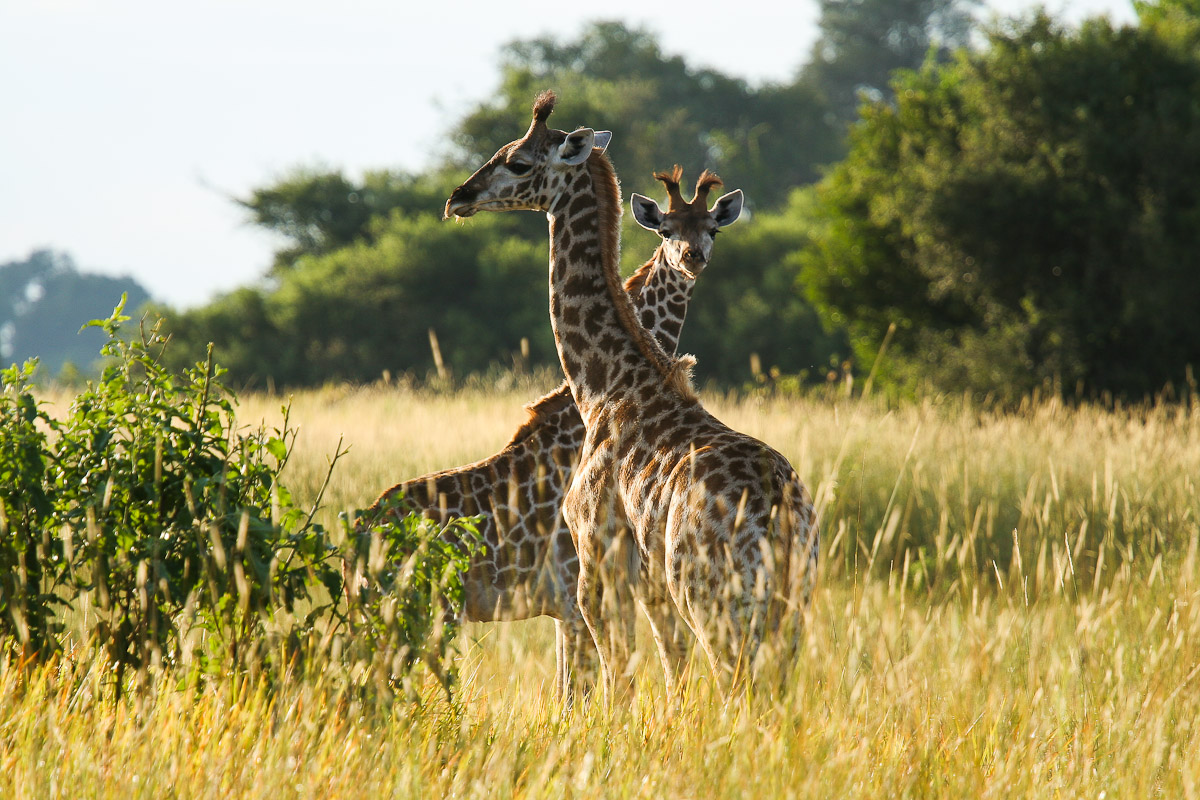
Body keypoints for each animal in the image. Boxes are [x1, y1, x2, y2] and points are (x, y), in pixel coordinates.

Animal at [354, 166, 745, 699]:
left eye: (713, 229)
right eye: (666, 229)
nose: (692, 259)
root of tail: (359, 533)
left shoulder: (566, 605)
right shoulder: (572, 593)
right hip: (423, 612)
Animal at [444, 91, 818, 700]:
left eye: (517, 162)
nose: (459, 197)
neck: (605, 385)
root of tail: (777, 511)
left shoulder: (596, 561)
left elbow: (614, 680)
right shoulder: (646, 583)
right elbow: (668, 671)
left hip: (711, 593)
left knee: (734, 683)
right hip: (792, 597)